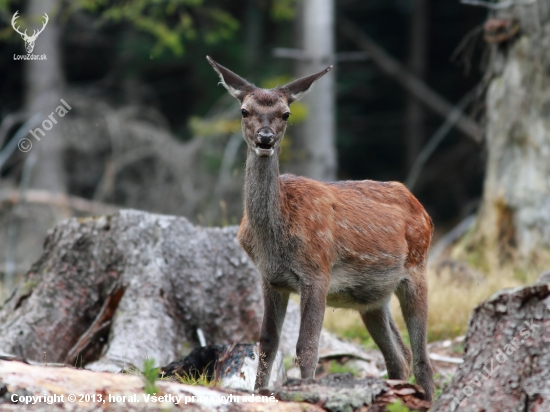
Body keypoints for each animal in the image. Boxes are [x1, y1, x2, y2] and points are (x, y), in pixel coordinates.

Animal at [207, 56, 436, 400]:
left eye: (285, 113)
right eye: (244, 110)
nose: (265, 138)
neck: (273, 238)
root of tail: (423, 209)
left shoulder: (317, 272)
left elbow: (306, 346)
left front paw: (306, 392)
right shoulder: (270, 279)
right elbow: (267, 343)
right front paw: (260, 393)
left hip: (417, 268)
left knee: (423, 358)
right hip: (373, 298)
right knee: (399, 355)